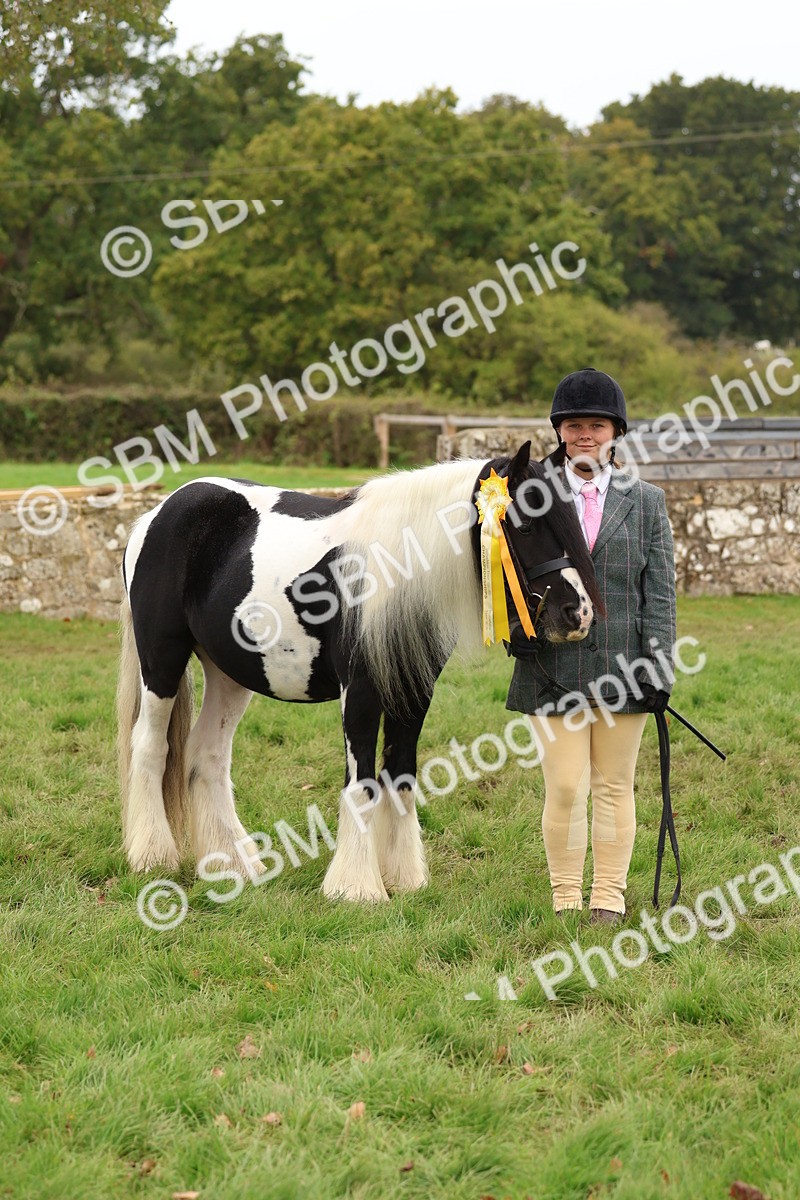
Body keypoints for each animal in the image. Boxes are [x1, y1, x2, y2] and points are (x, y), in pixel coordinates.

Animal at [117, 440, 602, 902]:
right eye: (526, 525)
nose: (577, 614)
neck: (394, 575)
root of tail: (156, 514)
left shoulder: (413, 691)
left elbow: (401, 774)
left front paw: (404, 879)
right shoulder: (361, 692)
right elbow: (362, 781)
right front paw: (356, 887)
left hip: (229, 674)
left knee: (207, 754)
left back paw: (233, 863)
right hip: (162, 659)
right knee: (151, 746)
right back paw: (153, 856)